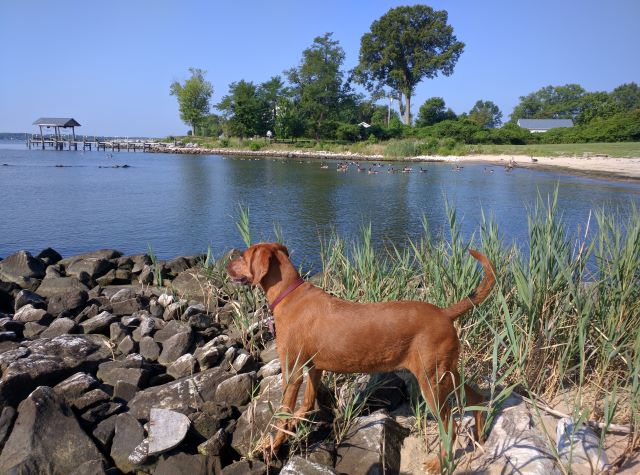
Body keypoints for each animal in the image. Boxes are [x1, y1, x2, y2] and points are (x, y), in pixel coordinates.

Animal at [228, 244, 498, 470]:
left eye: (243, 256)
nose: (227, 263)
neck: (289, 295)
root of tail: (444, 313)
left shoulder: (292, 372)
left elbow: (282, 417)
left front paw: (273, 447)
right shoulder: (314, 369)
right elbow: (305, 405)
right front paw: (288, 432)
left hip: (431, 381)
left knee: (451, 425)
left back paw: (439, 463)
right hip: (446, 372)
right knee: (477, 399)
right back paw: (481, 436)